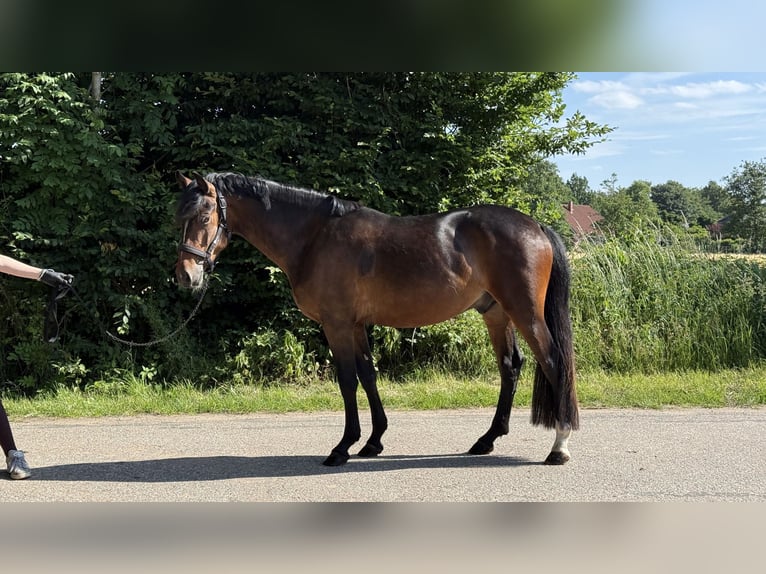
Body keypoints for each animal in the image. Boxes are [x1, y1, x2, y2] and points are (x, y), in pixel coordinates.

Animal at [174, 171, 579, 467]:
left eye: (205, 216)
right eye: (180, 218)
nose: (185, 276)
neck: (315, 238)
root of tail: (536, 226)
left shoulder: (336, 324)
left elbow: (347, 381)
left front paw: (342, 447)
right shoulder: (355, 324)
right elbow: (368, 375)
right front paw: (373, 441)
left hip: (525, 312)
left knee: (554, 362)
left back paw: (559, 447)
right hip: (496, 313)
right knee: (511, 367)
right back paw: (487, 440)